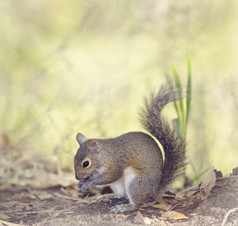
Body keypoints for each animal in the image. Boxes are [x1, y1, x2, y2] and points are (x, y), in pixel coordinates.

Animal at [74, 84, 186, 213]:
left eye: (85, 163)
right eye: (74, 158)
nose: (77, 177)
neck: (105, 155)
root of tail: (154, 193)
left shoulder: (115, 164)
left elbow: (109, 176)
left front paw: (89, 183)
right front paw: (82, 183)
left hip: (136, 183)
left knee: (137, 203)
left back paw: (124, 207)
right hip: (119, 184)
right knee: (122, 194)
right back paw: (108, 196)